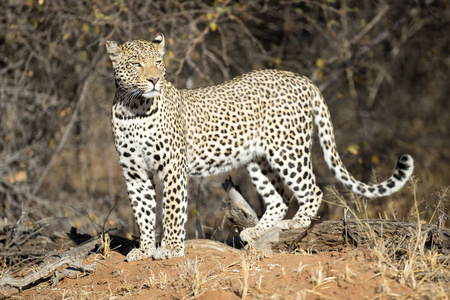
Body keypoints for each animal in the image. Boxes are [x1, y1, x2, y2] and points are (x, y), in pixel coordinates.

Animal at [106, 34, 414, 262]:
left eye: (158, 62)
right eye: (136, 63)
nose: (154, 80)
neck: (134, 109)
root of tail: (301, 78)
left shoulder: (172, 169)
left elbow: (171, 209)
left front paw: (169, 248)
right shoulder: (134, 174)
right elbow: (143, 212)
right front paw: (145, 249)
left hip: (288, 149)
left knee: (312, 190)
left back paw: (296, 223)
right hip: (258, 160)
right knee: (279, 198)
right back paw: (255, 232)